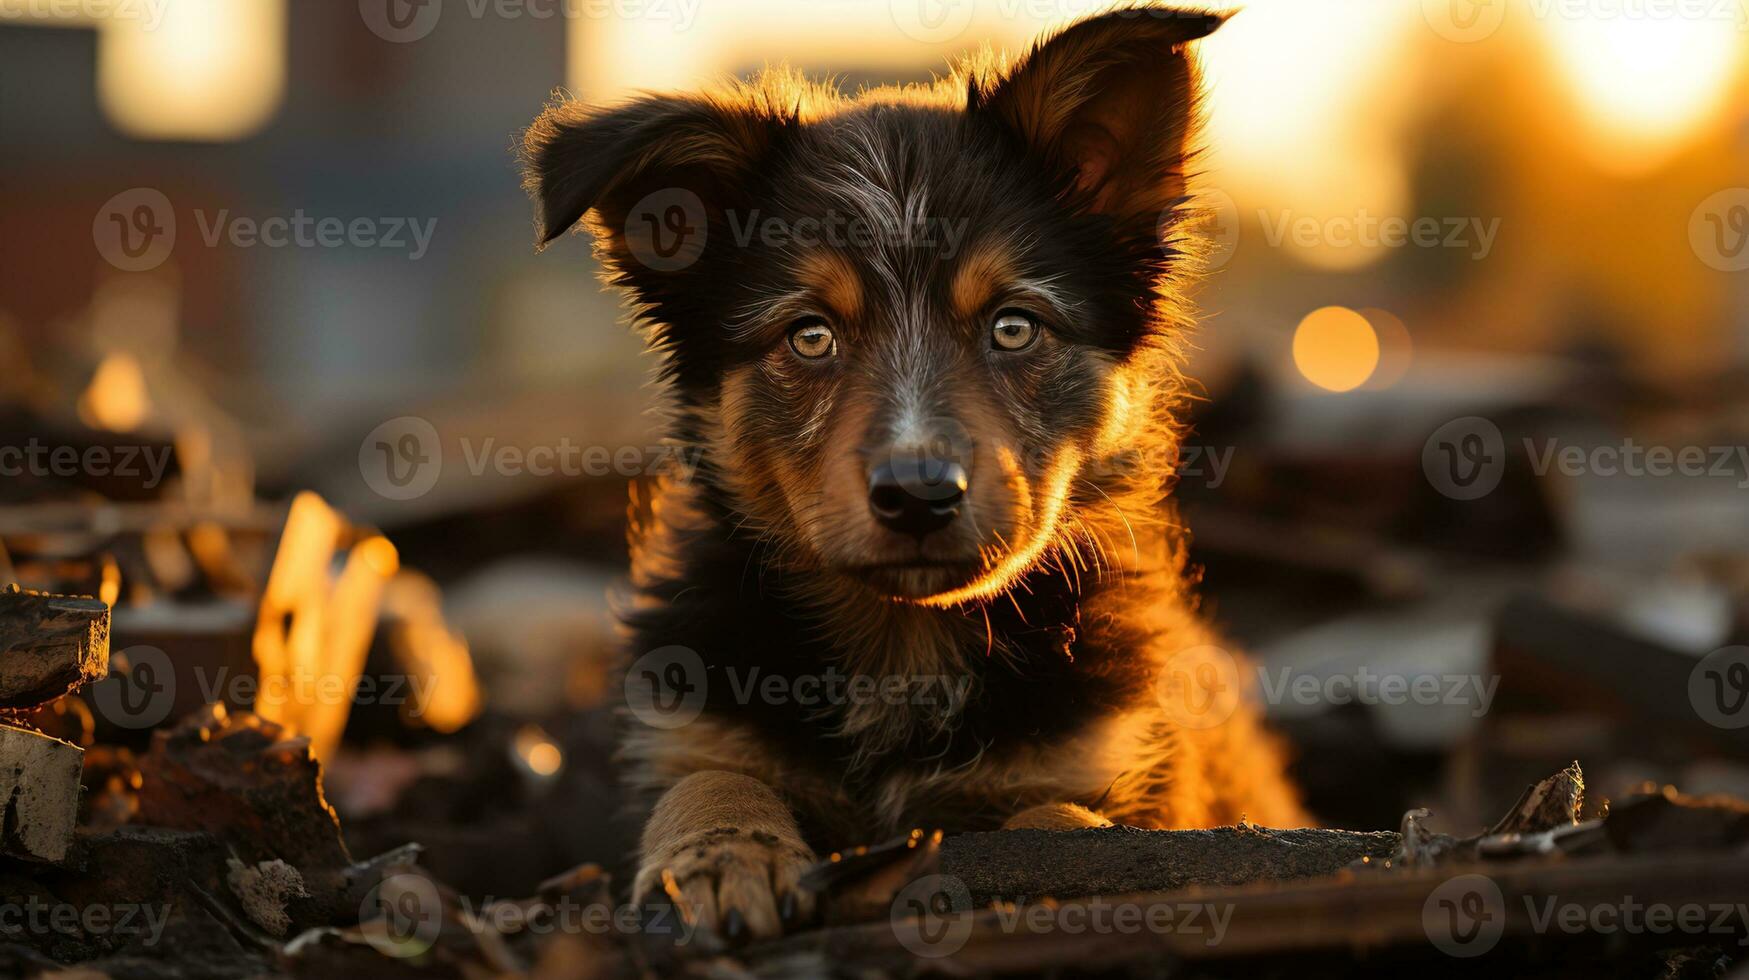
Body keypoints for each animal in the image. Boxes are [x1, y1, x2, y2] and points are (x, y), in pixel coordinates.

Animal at [521, 5, 1315, 945]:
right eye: (810, 335)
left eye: (1014, 327)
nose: (918, 495)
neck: (903, 643)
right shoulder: (695, 721)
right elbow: (708, 779)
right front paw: (720, 855)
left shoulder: (1110, 761)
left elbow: (1064, 826)